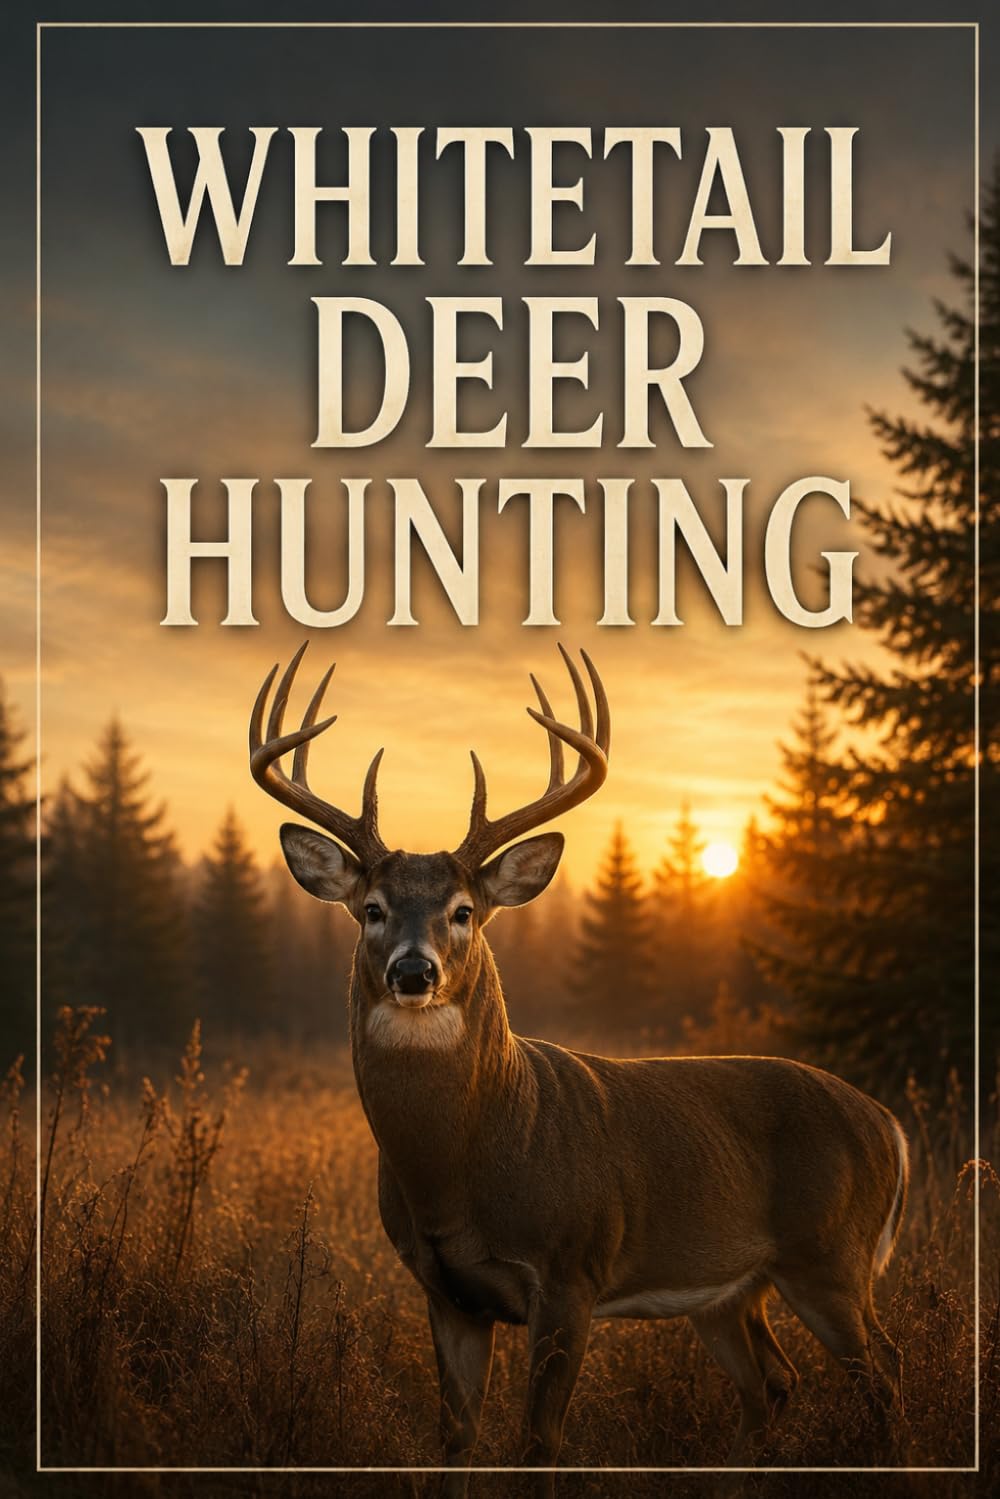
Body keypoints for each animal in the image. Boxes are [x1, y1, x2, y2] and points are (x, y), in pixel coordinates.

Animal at [249, 642, 909, 1494]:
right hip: (731, 1290)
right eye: (371, 909)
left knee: (884, 1374)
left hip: (831, 1256)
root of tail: (888, 1125)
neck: (462, 1165)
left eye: (463, 910)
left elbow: (539, 1442)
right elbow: (455, 1439)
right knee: (773, 1381)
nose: (413, 971)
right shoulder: (445, 1290)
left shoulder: (571, 1272)